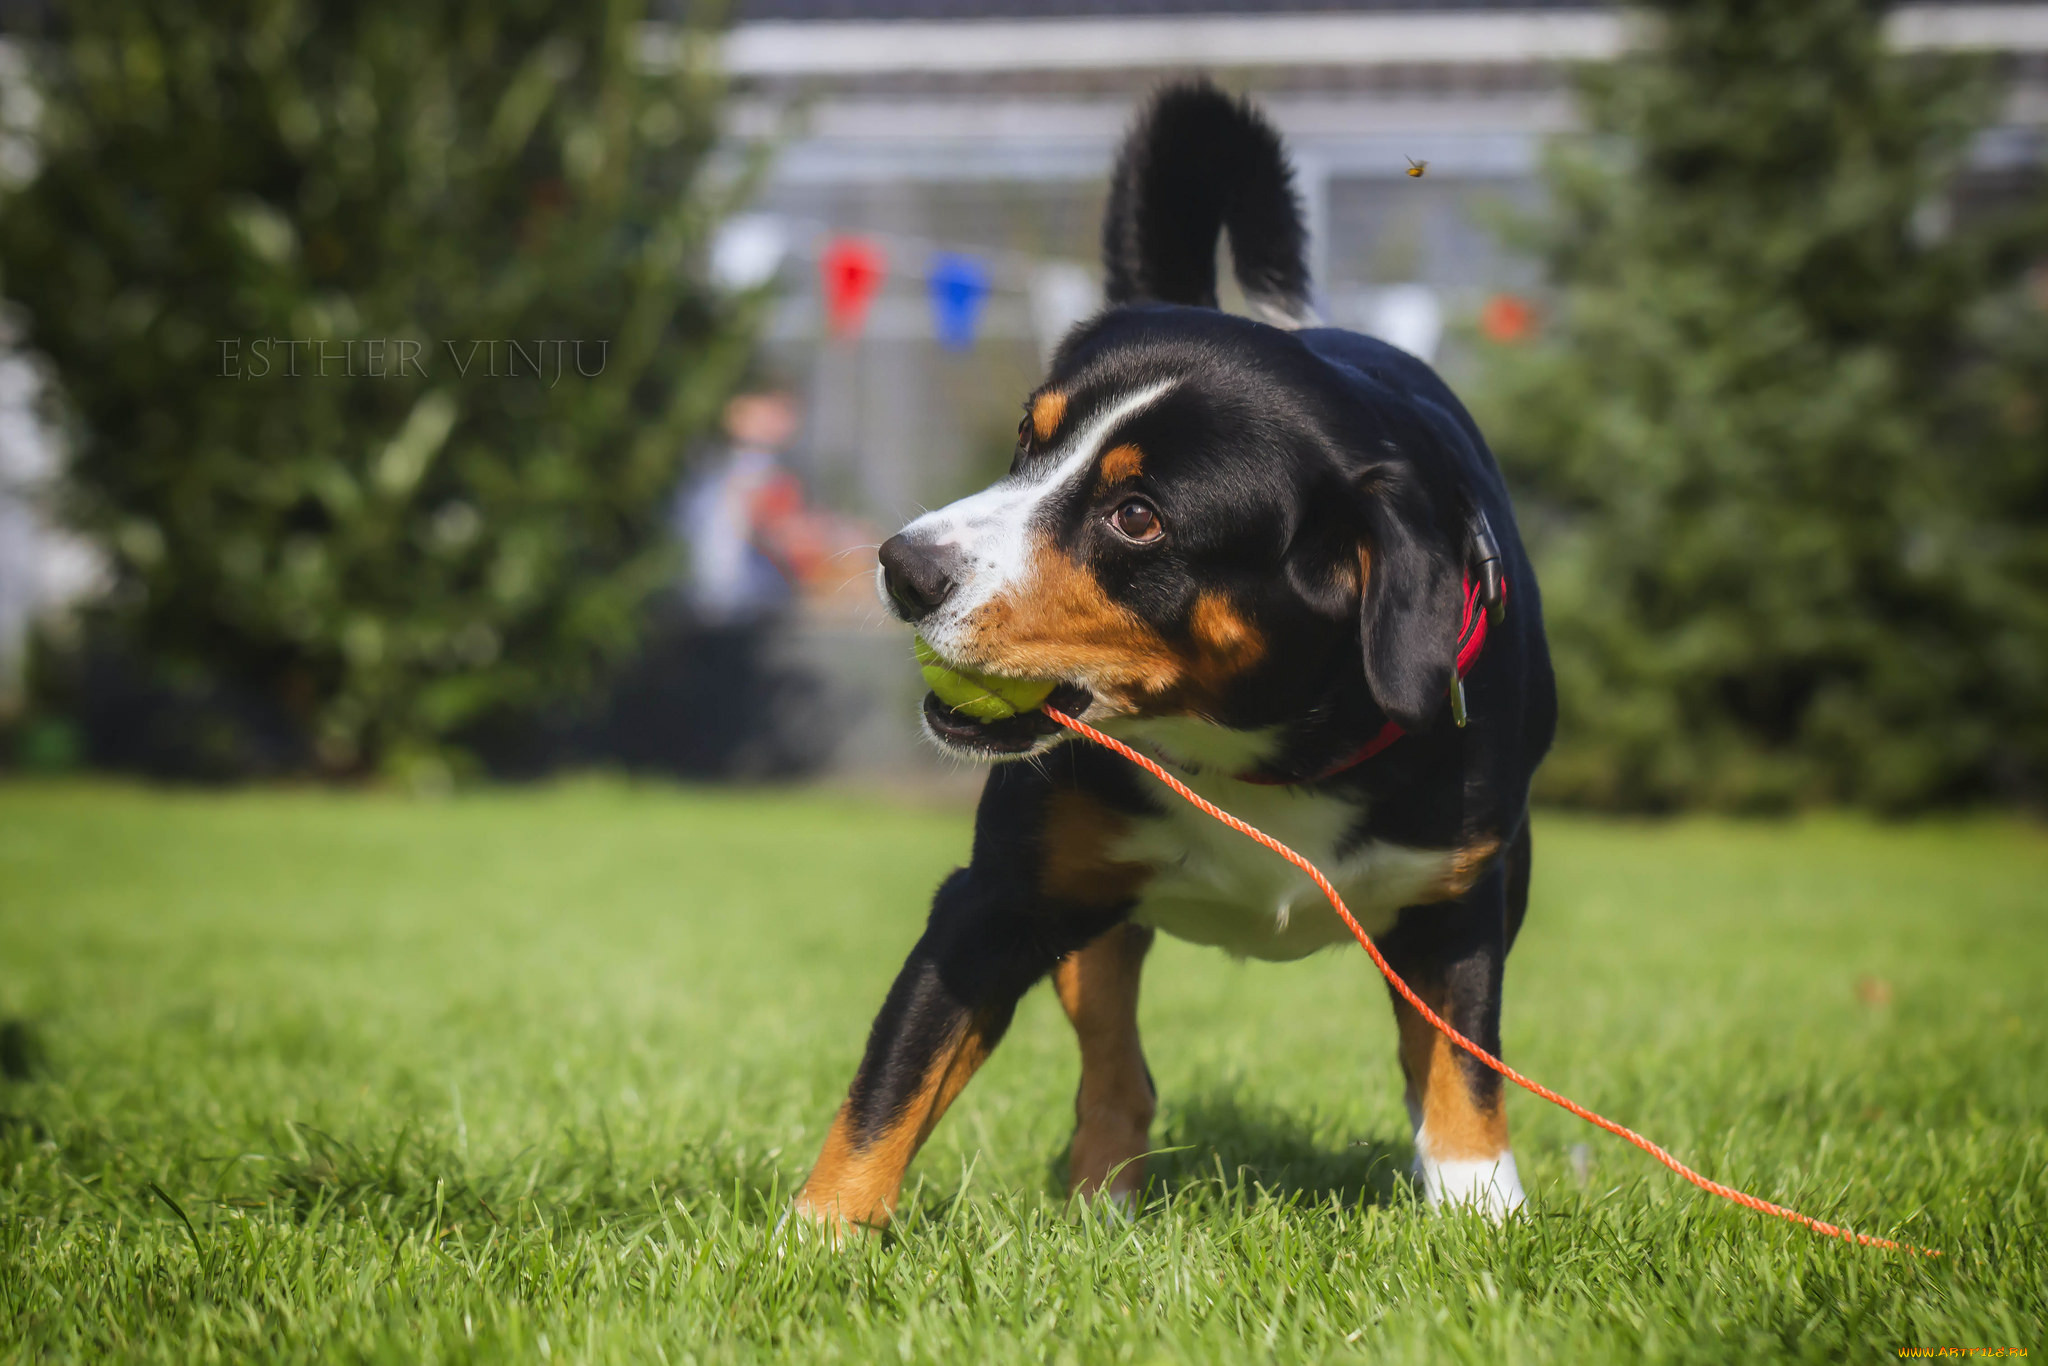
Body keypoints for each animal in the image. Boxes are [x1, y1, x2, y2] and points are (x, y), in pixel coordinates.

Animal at [794, 82, 1548, 1236]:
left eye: (1137, 516)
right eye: (1029, 440)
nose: (906, 567)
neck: (1255, 750)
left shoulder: (1463, 900)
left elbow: (1462, 1074)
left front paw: (1479, 1210)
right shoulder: (990, 902)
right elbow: (891, 1084)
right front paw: (820, 1238)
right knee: (1117, 1067)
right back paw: (1100, 1199)